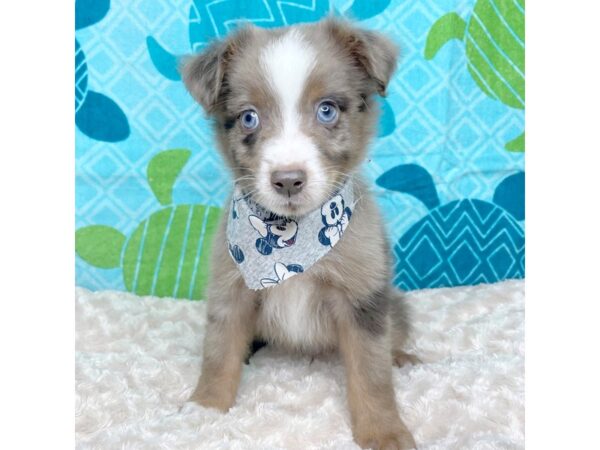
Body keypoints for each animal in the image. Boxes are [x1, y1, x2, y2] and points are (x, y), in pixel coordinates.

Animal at [182, 17, 418, 450]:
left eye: (326, 110)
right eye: (249, 118)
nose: (288, 180)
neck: (288, 238)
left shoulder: (363, 299)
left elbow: (372, 374)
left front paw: (384, 431)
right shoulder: (230, 290)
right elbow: (218, 354)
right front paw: (204, 409)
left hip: (395, 303)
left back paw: (402, 357)